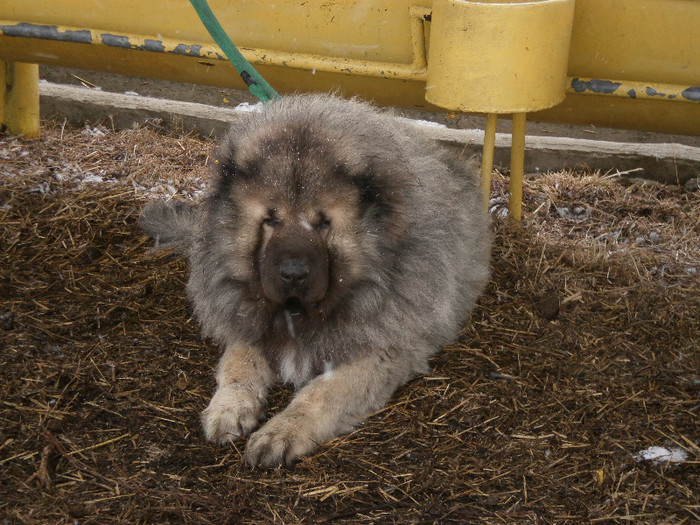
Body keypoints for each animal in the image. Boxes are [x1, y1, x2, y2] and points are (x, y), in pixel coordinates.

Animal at [139, 94, 490, 466]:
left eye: (323, 223)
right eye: (270, 220)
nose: (293, 274)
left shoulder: (378, 353)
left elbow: (321, 393)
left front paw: (281, 432)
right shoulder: (249, 323)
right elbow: (239, 364)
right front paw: (228, 408)